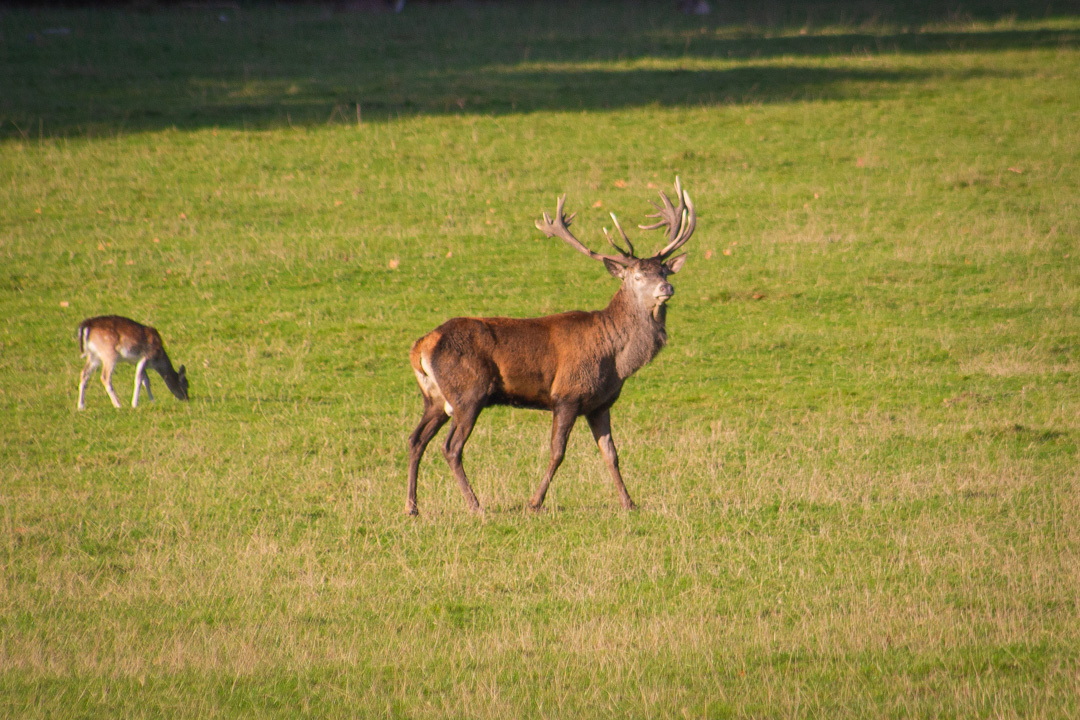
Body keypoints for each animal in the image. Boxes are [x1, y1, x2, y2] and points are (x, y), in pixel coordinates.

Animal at [406, 177, 696, 515]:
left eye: (664, 270)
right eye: (637, 276)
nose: (667, 287)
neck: (616, 359)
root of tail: (421, 347)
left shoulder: (600, 404)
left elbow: (611, 454)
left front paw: (629, 502)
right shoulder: (567, 394)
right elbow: (557, 452)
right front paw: (534, 502)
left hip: (435, 398)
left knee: (415, 440)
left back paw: (412, 507)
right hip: (468, 393)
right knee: (451, 447)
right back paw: (475, 505)